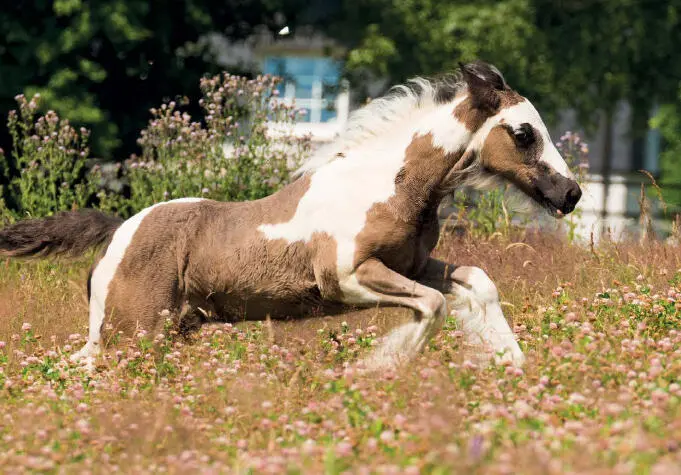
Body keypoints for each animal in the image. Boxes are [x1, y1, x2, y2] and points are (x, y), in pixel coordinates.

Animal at [0, 60, 580, 372]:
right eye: (523, 133)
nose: (571, 193)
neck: (386, 185)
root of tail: (116, 232)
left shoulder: (412, 267)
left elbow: (475, 283)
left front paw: (510, 364)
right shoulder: (347, 278)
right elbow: (433, 307)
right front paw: (377, 368)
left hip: (163, 331)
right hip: (128, 332)